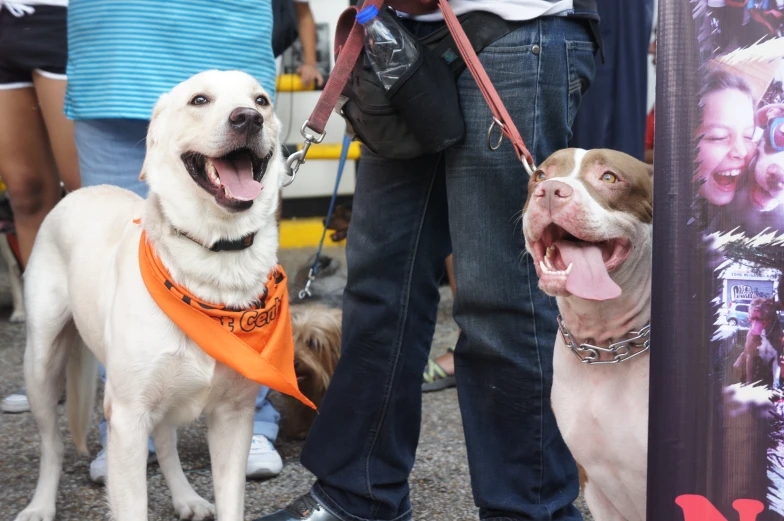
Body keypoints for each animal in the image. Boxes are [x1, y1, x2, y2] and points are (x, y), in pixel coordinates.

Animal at [16, 71, 306, 520]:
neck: (215, 262)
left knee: (167, 442)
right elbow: (130, 502)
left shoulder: (233, 418)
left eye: (261, 100)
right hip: (42, 365)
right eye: (199, 100)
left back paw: (187, 498)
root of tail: (79, 191)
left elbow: (230, 501)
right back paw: (40, 505)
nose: (248, 118)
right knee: (52, 445)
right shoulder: (128, 418)